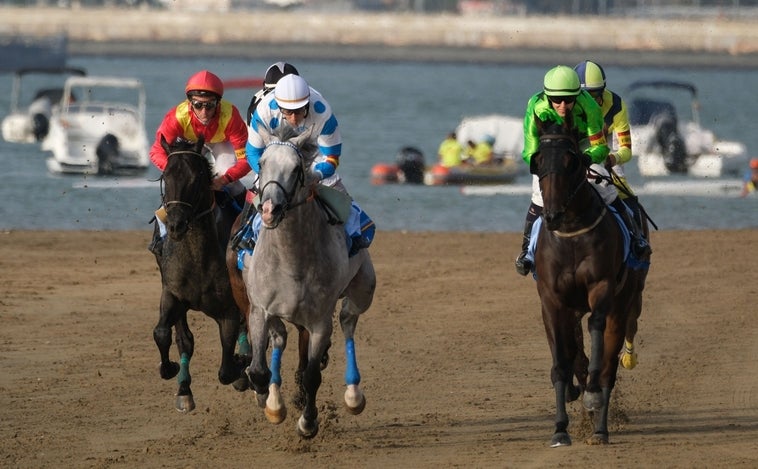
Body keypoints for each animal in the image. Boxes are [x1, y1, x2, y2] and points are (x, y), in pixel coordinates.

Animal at [153, 134, 248, 410]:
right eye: (166, 177)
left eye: (196, 179)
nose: (175, 225)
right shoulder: (172, 294)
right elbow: (164, 334)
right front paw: (172, 371)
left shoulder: (228, 309)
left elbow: (226, 370)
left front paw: (241, 364)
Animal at [242, 125, 376, 438]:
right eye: (262, 163)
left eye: (295, 169)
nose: (270, 209)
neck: (292, 259)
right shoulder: (260, 310)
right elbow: (258, 370)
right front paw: (266, 397)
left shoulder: (319, 321)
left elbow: (312, 374)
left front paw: (308, 422)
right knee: (280, 338)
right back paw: (274, 402)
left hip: (364, 288)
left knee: (348, 322)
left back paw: (353, 395)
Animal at [532, 118, 652, 446]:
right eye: (537, 161)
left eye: (571, 160)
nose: (552, 215)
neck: (571, 232)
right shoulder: (552, 300)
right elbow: (563, 359)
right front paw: (560, 427)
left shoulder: (602, 288)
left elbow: (595, 329)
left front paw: (591, 396)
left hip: (626, 300)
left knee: (610, 363)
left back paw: (600, 425)